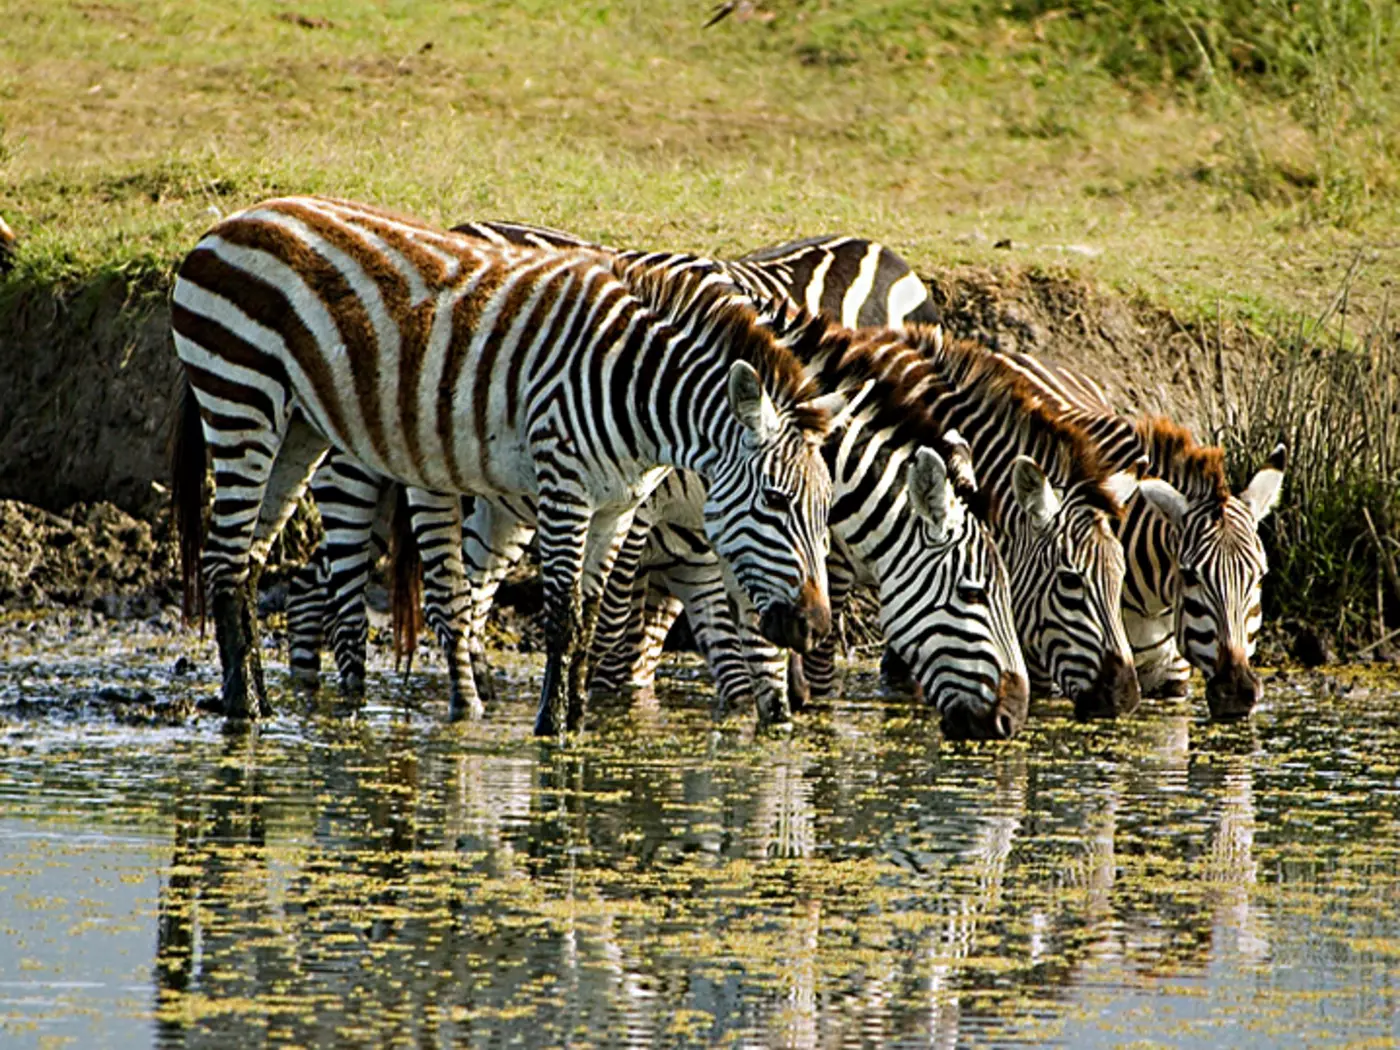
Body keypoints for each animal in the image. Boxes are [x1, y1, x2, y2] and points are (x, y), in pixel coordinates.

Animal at [168, 195, 842, 735]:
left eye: (825, 509)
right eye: (775, 501)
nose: (814, 629)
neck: (637, 394)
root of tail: (235, 219)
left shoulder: (618, 506)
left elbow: (588, 616)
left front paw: (576, 719)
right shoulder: (564, 483)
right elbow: (563, 615)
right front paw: (552, 728)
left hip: (300, 428)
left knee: (248, 563)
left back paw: (260, 705)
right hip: (241, 400)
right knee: (225, 560)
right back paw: (245, 716)